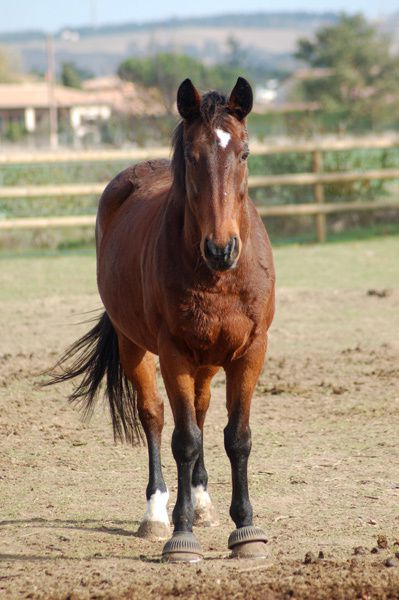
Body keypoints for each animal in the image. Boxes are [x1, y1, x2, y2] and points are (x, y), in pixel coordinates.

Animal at [48, 78, 276, 564]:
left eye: (244, 153)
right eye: (191, 156)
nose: (221, 248)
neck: (218, 276)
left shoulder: (250, 351)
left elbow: (237, 437)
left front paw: (246, 529)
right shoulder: (173, 354)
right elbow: (183, 439)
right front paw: (181, 535)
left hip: (207, 360)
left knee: (203, 413)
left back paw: (204, 503)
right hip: (136, 345)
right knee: (154, 417)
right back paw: (155, 514)